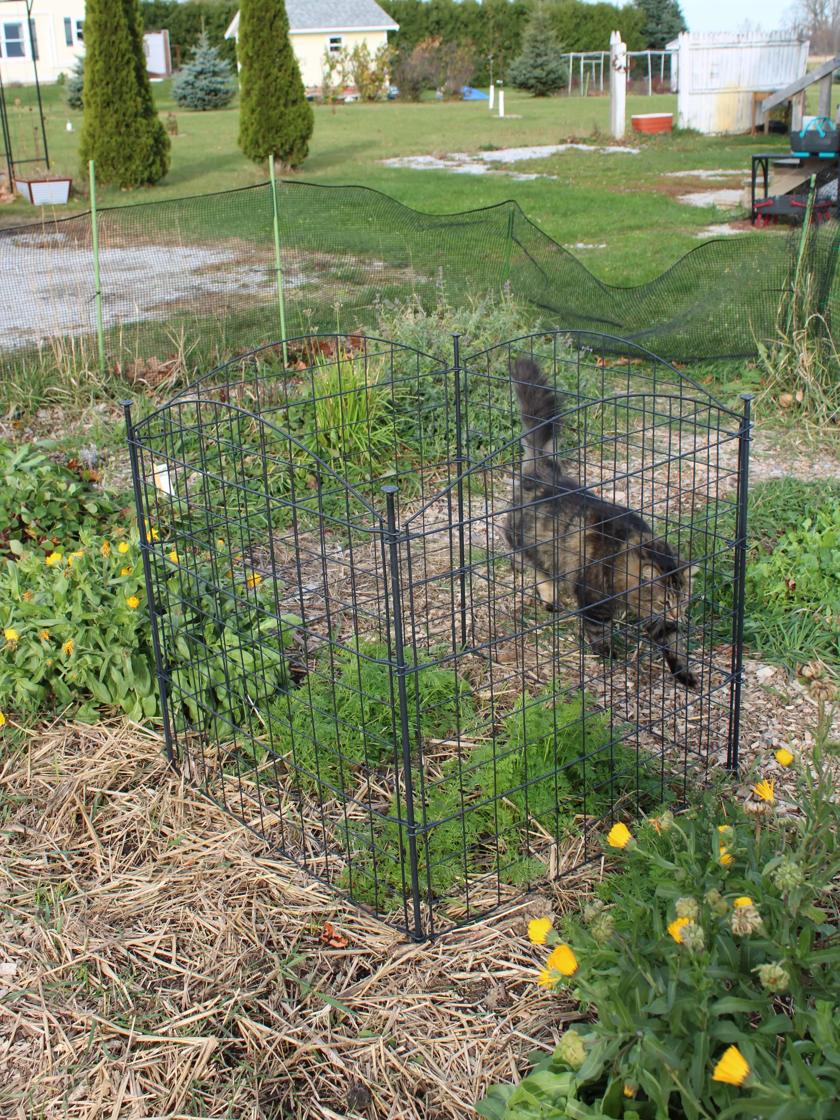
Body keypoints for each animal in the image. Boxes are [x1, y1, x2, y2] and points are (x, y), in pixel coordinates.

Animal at [506, 362, 698, 685]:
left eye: (683, 602)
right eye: (665, 603)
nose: (677, 616)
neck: (624, 556)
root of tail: (545, 471)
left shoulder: (660, 623)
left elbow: (674, 645)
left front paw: (685, 674)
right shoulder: (594, 601)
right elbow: (597, 631)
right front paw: (607, 653)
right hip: (530, 543)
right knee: (539, 571)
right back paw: (550, 600)